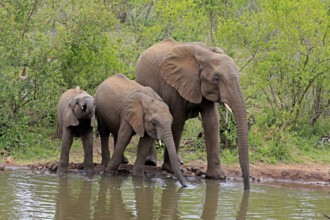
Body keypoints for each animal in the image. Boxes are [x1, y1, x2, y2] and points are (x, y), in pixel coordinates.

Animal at [137, 37, 250, 189]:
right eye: (216, 79)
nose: (246, 188)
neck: (207, 54)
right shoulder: (174, 84)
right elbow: (177, 121)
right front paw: (170, 169)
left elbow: (212, 122)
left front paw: (217, 177)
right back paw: (151, 162)